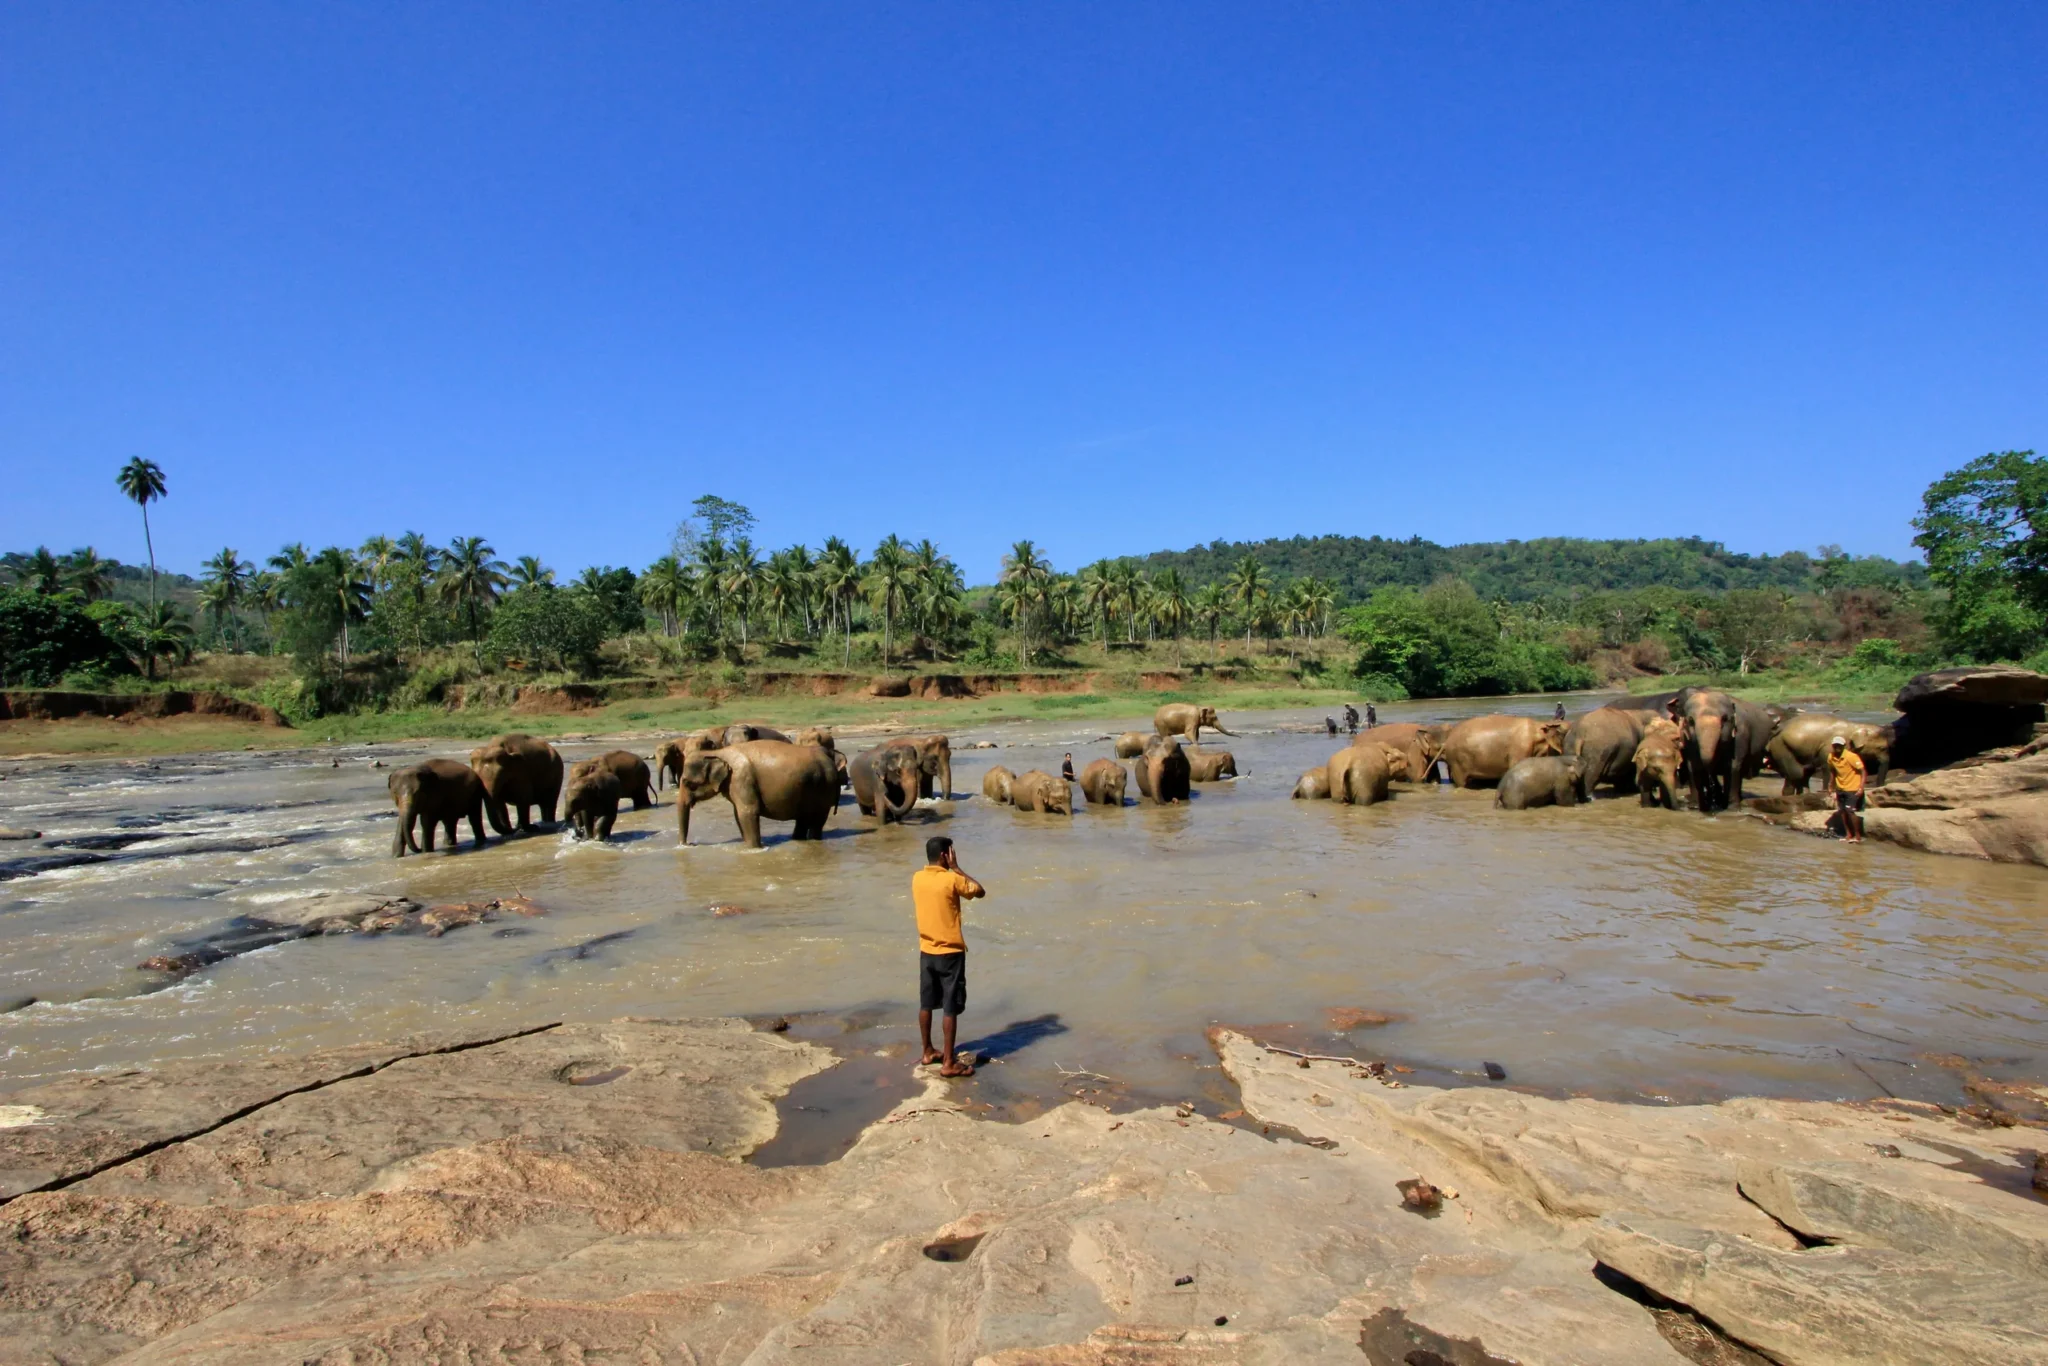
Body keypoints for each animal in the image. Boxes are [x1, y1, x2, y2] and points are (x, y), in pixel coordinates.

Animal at [675, 741, 839, 849]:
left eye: (688, 783)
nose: (690, 844)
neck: (717, 753)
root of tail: (828, 757)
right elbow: (738, 814)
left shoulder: (741, 778)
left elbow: (747, 812)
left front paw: (754, 849)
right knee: (803, 819)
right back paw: (797, 840)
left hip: (825, 788)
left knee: (817, 821)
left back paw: (813, 841)